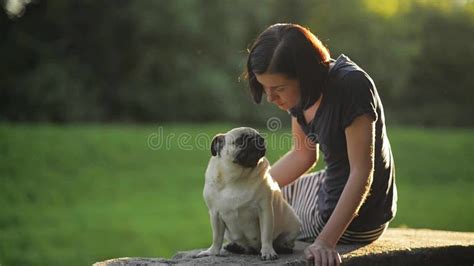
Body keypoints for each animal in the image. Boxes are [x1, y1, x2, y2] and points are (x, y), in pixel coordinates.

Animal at [195, 127, 300, 260]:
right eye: (240, 140)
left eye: (261, 139)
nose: (257, 141)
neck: (237, 177)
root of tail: (253, 250)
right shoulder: (215, 214)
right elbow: (217, 238)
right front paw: (212, 252)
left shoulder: (265, 210)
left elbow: (266, 235)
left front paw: (267, 251)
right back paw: (235, 247)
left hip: (294, 224)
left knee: (285, 241)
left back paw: (282, 248)